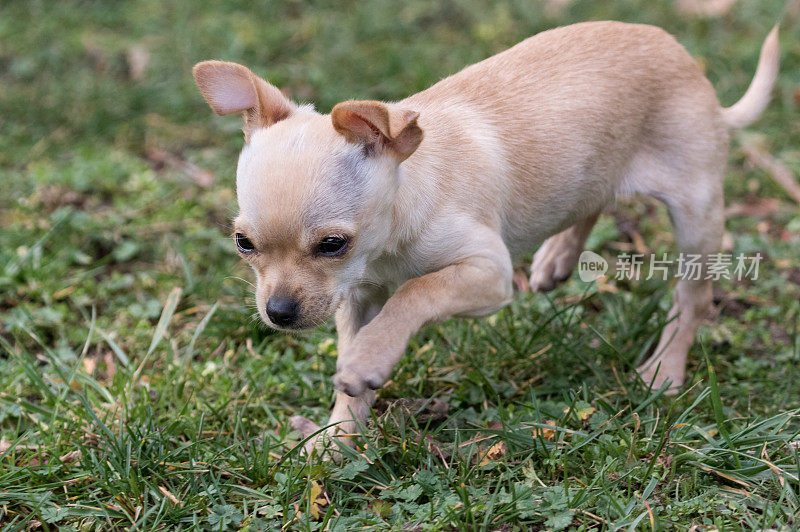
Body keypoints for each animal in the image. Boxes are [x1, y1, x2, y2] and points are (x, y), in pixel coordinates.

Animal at [191, 21, 780, 448]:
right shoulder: (356, 295)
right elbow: (359, 346)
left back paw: (665, 369)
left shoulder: (486, 275)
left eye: (332, 245)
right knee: (593, 199)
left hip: (697, 214)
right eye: (244, 245)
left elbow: (415, 291)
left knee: (692, 298)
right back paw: (558, 257)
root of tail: (684, 59)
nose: (278, 313)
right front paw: (335, 439)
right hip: (590, 170)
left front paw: (367, 362)